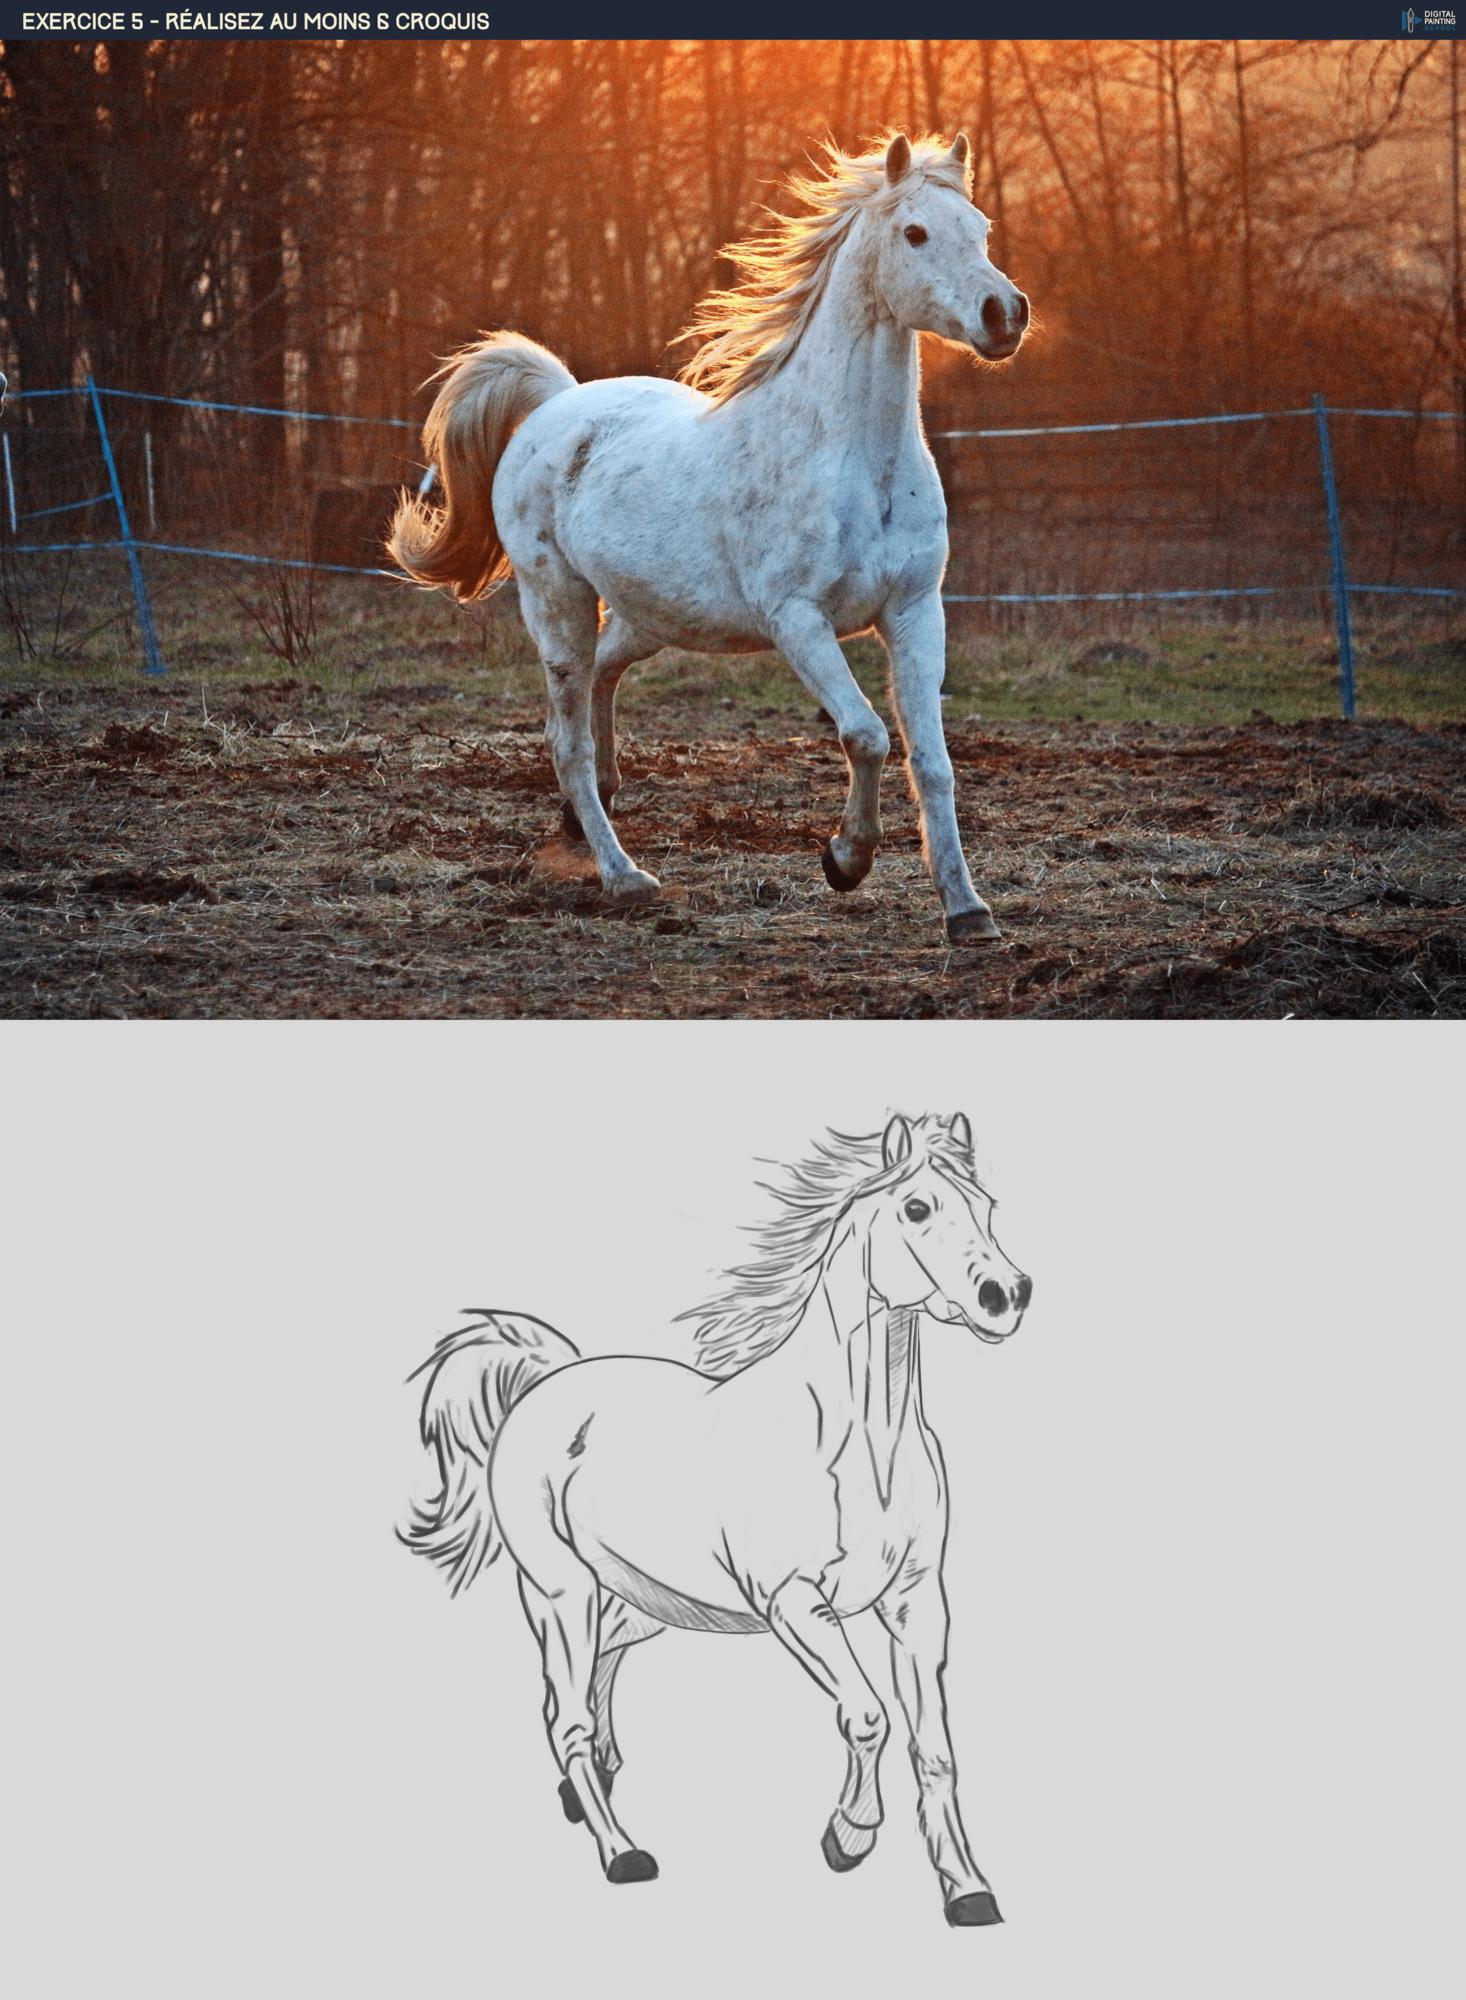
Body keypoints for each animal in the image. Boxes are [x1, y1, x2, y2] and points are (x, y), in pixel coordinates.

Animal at [389, 134, 1030, 944]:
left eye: (980, 228)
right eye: (914, 233)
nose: (1004, 313)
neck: (854, 458)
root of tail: (556, 404)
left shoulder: (915, 611)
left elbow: (934, 763)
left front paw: (968, 910)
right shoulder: (798, 621)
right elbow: (867, 735)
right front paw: (845, 860)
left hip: (651, 615)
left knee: (601, 681)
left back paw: (588, 811)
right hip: (557, 603)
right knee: (567, 739)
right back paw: (625, 876)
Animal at [399, 1112, 1031, 1925]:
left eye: (987, 1206)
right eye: (917, 1208)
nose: (1005, 1295)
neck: (863, 1443)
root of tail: (547, 1380)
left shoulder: (917, 1605)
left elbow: (936, 1751)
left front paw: (969, 1892)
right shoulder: (794, 1601)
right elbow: (868, 1716)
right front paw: (848, 1837)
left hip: (644, 1600)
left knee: (592, 1675)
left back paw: (588, 1787)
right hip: (561, 1592)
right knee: (565, 1716)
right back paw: (622, 1851)